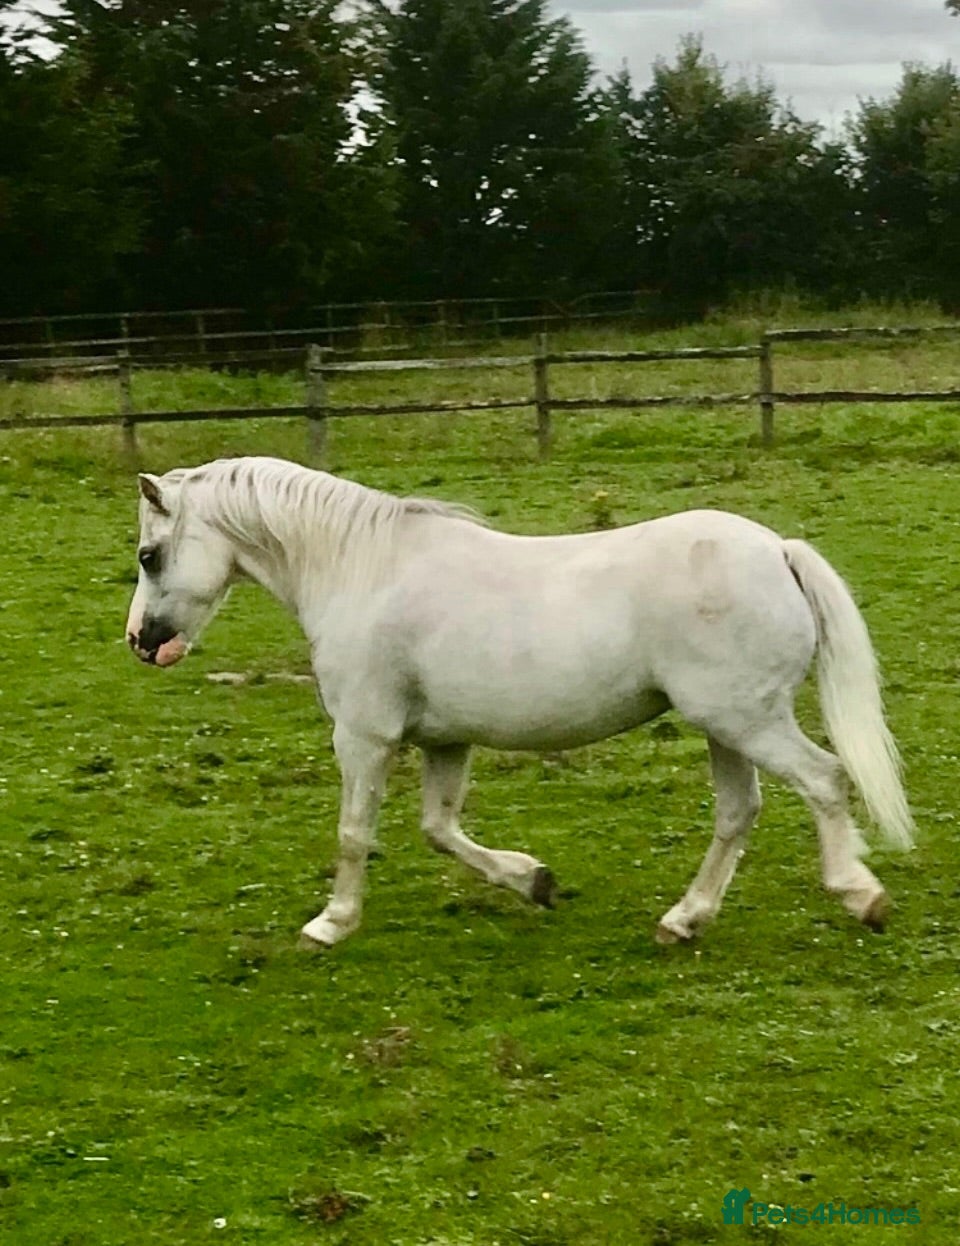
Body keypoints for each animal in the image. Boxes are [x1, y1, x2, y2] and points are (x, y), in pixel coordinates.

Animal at [125, 455, 914, 948]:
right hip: (726, 727)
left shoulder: (364, 736)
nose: (141, 641)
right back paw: (684, 920)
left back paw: (859, 895)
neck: (361, 569)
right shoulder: (445, 741)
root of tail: (778, 549)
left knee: (824, 779)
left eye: (147, 555)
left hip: (747, 721)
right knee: (738, 813)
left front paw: (332, 923)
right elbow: (441, 830)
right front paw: (534, 881)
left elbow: (354, 834)